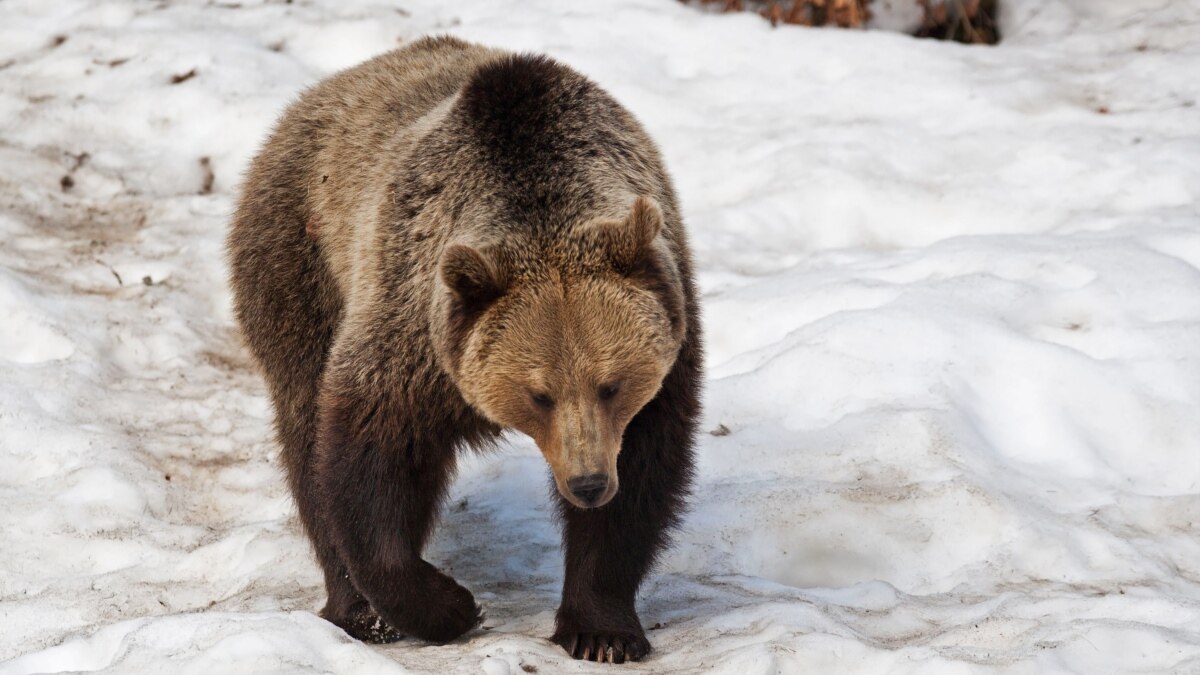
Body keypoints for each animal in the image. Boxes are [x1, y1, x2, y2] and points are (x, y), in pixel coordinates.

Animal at [225, 34, 700, 658]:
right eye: (539, 393)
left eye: (612, 384)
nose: (588, 483)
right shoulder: (411, 331)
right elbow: (365, 461)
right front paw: (447, 605)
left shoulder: (666, 345)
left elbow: (644, 470)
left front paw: (601, 631)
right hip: (299, 262)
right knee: (305, 428)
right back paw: (358, 611)